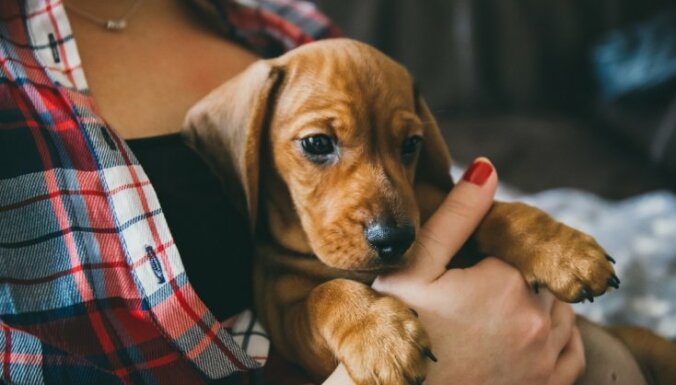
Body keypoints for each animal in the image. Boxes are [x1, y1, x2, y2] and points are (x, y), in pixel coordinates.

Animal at [181, 39, 676, 384]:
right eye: (317, 143)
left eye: (411, 144)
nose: (394, 240)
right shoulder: (288, 324)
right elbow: (327, 294)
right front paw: (380, 337)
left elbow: (500, 213)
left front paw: (562, 250)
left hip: (649, 344)